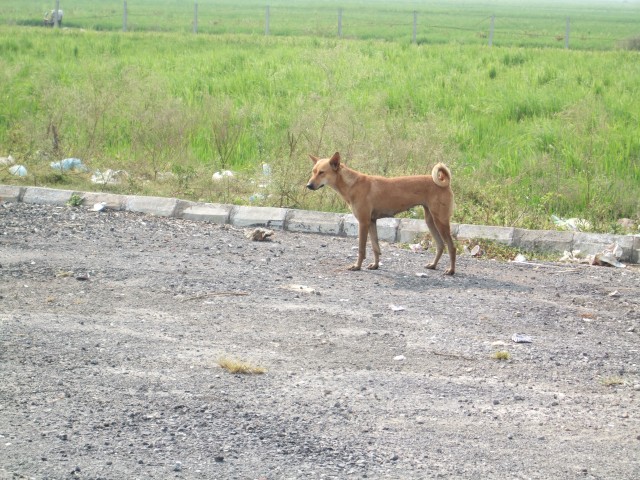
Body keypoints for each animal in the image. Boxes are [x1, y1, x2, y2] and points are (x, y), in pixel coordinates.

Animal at [306, 152, 456, 275]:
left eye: (322, 172)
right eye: (313, 172)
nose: (308, 186)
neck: (352, 184)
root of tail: (446, 183)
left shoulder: (363, 223)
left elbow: (361, 249)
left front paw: (357, 266)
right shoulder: (372, 222)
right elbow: (375, 247)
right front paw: (375, 265)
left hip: (440, 221)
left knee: (451, 247)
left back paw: (451, 270)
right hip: (430, 221)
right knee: (441, 245)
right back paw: (433, 265)